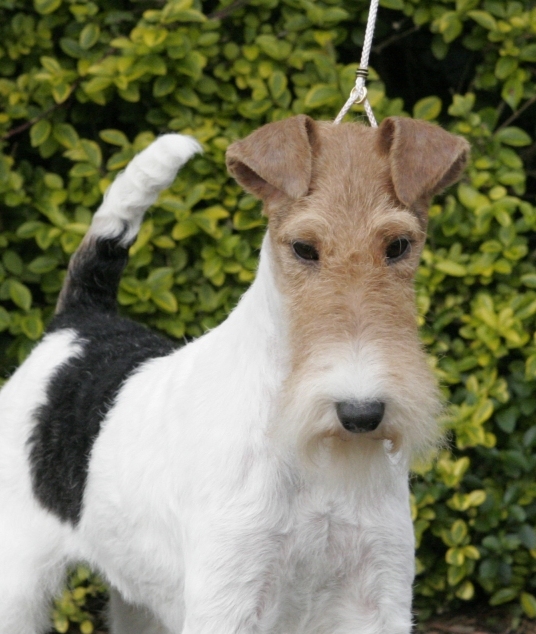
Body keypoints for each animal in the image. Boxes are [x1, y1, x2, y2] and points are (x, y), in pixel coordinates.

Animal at [0, 115, 468, 632]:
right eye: (304, 248)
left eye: (399, 245)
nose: (360, 413)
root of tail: (78, 321)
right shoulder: (229, 599)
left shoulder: (378, 597)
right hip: (17, 575)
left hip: (136, 596)